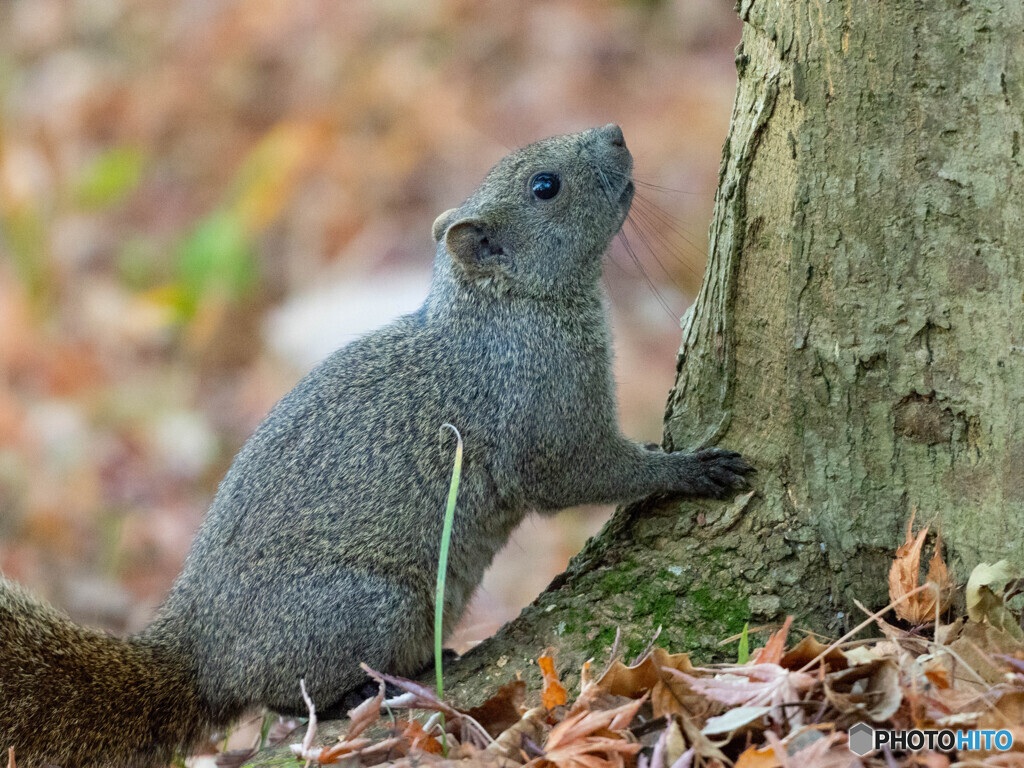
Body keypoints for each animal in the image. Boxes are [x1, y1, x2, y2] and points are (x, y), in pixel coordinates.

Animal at [0, 123, 753, 765]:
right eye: (546, 187)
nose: (616, 134)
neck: (509, 309)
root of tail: (202, 656)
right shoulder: (538, 412)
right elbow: (580, 474)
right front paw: (688, 468)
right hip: (370, 607)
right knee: (283, 700)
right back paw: (364, 691)